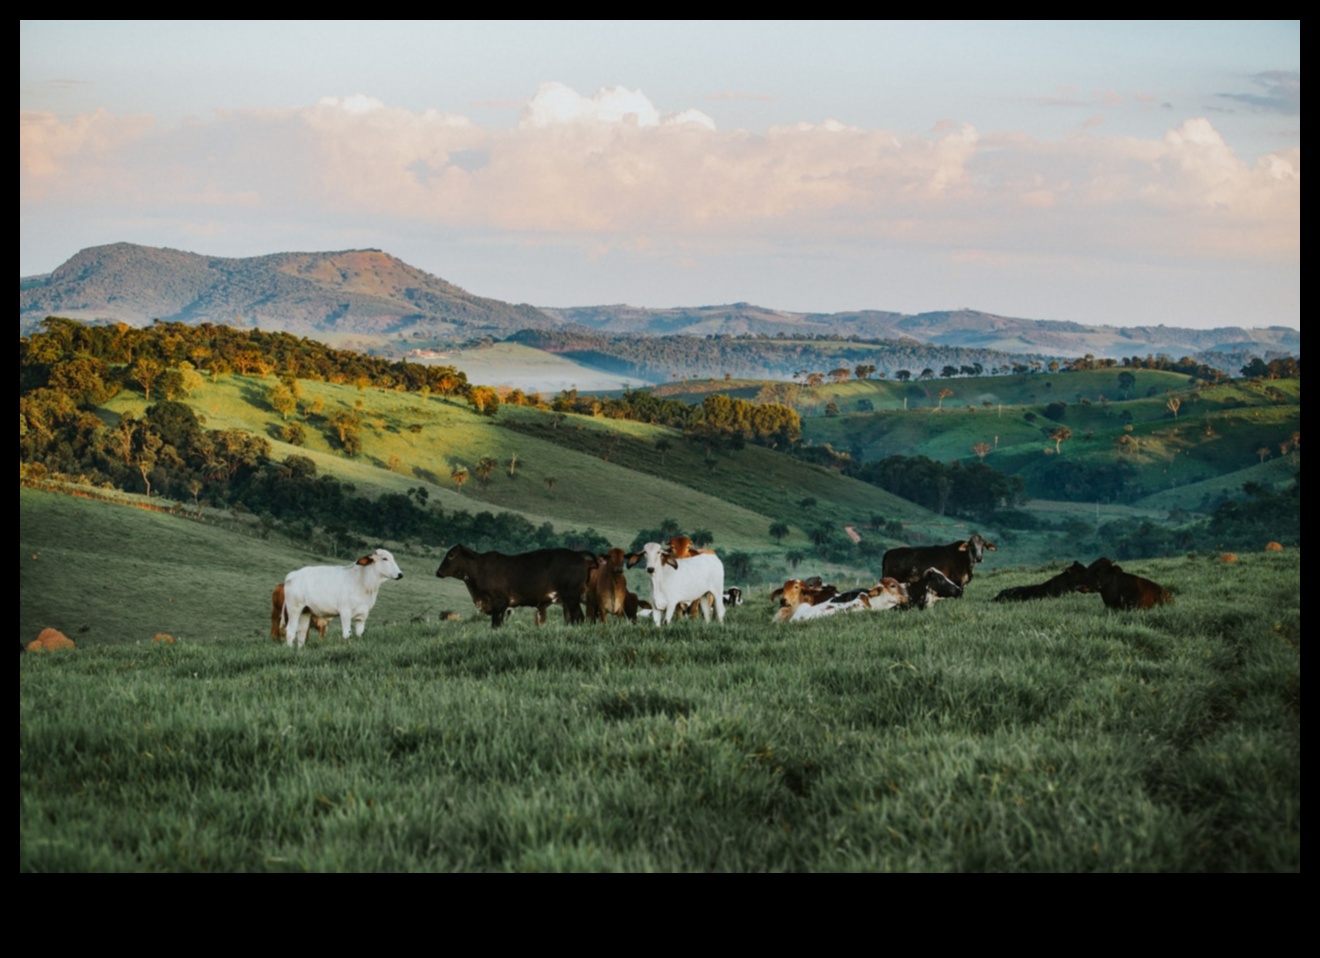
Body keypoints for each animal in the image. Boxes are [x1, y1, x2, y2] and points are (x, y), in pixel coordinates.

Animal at [435, 548, 591, 630]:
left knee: (579, 617)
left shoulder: (499, 603)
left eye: (451, 555)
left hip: (572, 598)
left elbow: (495, 623)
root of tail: (578, 555)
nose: (438, 572)